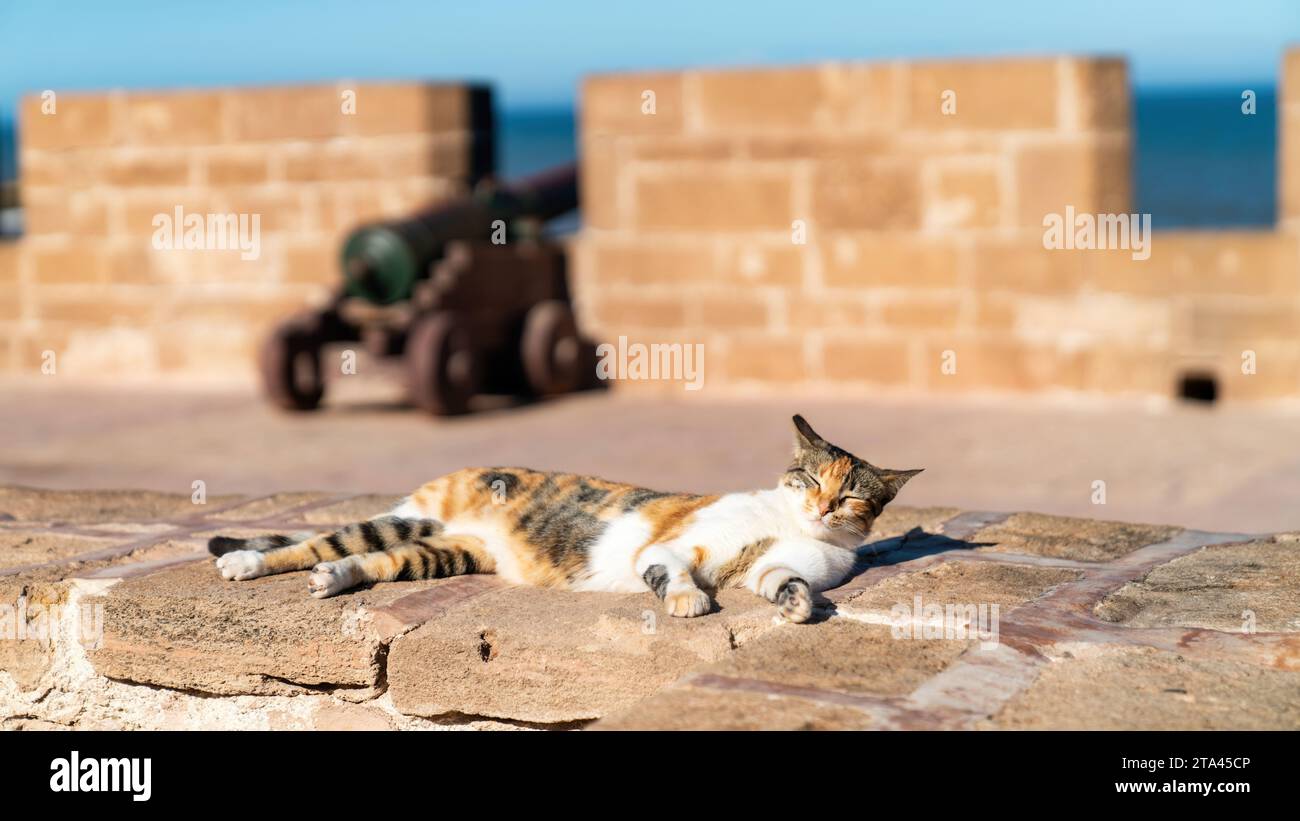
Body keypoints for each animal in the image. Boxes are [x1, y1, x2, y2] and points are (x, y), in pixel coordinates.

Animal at [208, 415, 920, 620]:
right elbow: (672, 572)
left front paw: (798, 606)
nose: (822, 505)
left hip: (443, 552)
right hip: (413, 520)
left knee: (370, 561)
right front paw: (688, 602)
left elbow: (781, 580)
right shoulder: (671, 548)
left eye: (852, 495)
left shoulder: (781, 564)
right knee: (312, 543)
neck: (788, 525)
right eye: (811, 479)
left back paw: (334, 581)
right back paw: (243, 562)